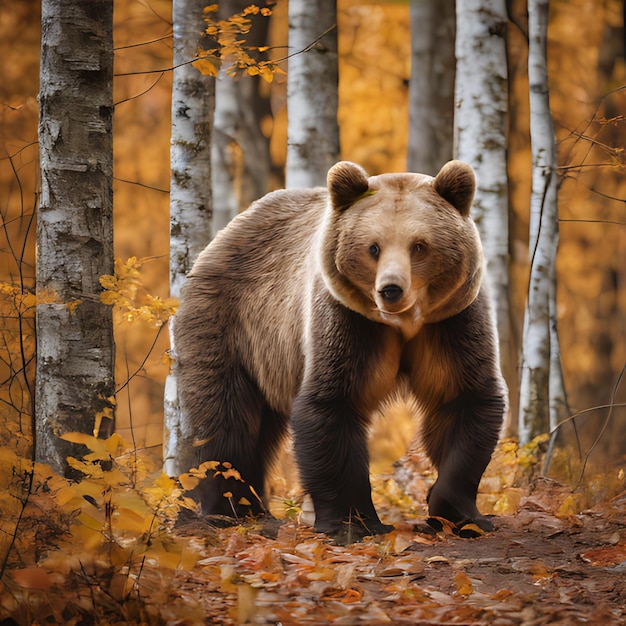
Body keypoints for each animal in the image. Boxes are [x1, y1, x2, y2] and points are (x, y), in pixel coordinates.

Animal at [173, 158, 504, 540]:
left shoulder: (451, 322)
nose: (391, 290)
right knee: (227, 418)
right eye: (373, 247)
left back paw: (253, 508)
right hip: (229, 323)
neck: (403, 324)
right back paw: (229, 509)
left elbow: (462, 398)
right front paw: (354, 522)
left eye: (419, 246)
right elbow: (334, 403)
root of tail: (224, 235)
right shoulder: (347, 319)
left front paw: (460, 516)